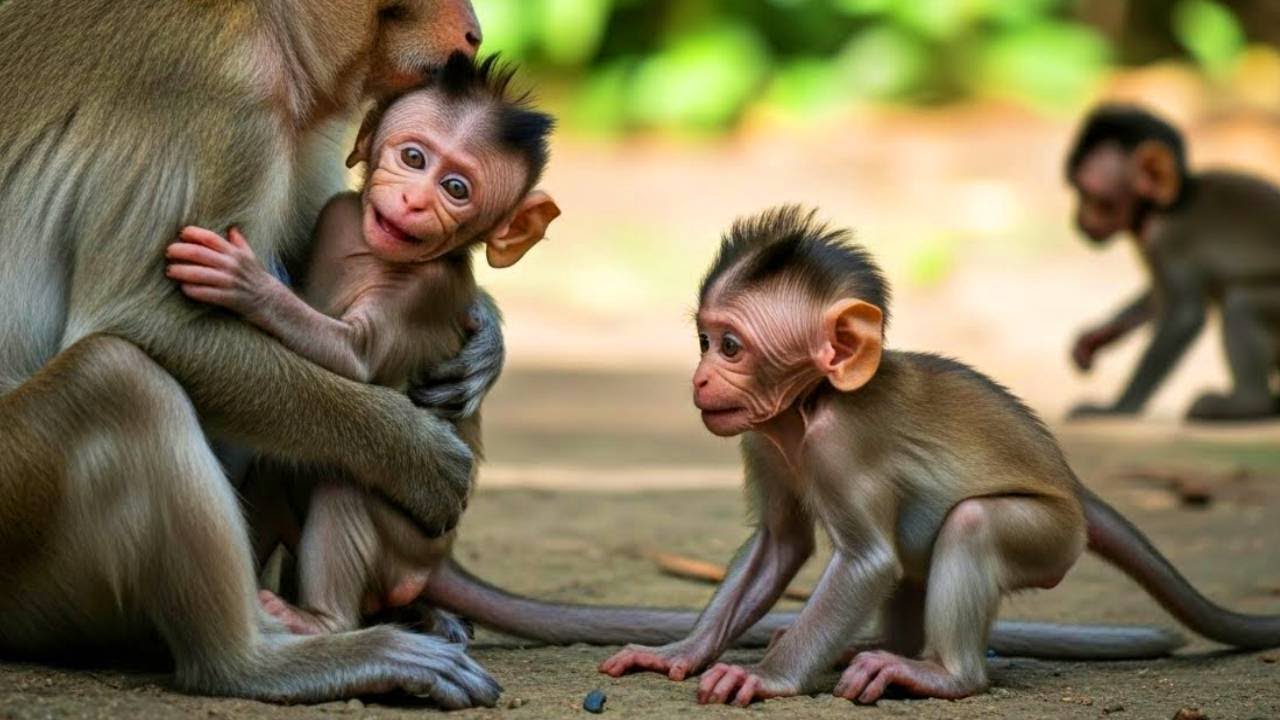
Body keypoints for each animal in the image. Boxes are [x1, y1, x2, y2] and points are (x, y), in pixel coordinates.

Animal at [0, 0, 517, 707]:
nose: (474, 31)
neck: (268, 20)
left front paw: (485, 335)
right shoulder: (222, 93)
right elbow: (148, 318)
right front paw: (417, 455)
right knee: (117, 381)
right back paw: (264, 661)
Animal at [165, 54, 560, 639]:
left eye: (457, 188)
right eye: (413, 157)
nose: (415, 201)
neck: (370, 251)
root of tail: (436, 563)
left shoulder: (423, 291)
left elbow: (357, 357)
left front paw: (246, 281)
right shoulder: (340, 213)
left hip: (410, 535)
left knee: (350, 482)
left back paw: (320, 621)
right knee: (274, 471)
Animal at [596, 206, 1280, 706]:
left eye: (732, 346)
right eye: (703, 340)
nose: (700, 379)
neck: (808, 408)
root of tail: (1075, 489)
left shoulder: (844, 444)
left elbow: (867, 562)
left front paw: (764, 676)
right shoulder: (759, 438)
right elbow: (779, 545)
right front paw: (680, 653)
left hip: (1052, 537)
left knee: (970, 524)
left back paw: (942, 674)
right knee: (909, 560)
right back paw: (881, 648)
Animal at [1065, 104, 1280, 421]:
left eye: (1089, 193)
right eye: (1076, 189)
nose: (1077, 221)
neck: (1169, 205)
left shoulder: (1167, 242)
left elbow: (1182, 316)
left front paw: (1118, 408)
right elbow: (1157, 299)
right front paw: (1096, 338)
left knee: (1242, 303)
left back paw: (1249, 403)